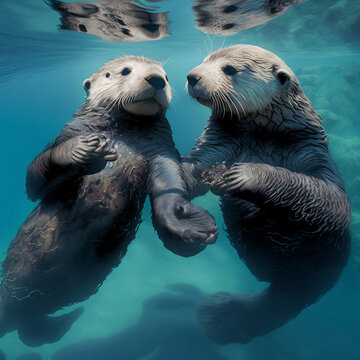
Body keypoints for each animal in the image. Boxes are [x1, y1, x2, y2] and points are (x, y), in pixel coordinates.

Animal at [0, 55, 218, 346]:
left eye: (167, 76)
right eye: (125, 71)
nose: (156, 79)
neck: (122, 139)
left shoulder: (161, 153)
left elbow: (169, 186)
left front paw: (187, 223)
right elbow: (35, 178)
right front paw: (82, 150)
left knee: (31, 331)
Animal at [181, 44, 350, 344]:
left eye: (229, 69)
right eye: (203, 60)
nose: (192, 76)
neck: (262, 139)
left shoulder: (314, 155)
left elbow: (330, 200)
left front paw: (245, 174)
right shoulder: (218, 143)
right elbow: (193, 166)